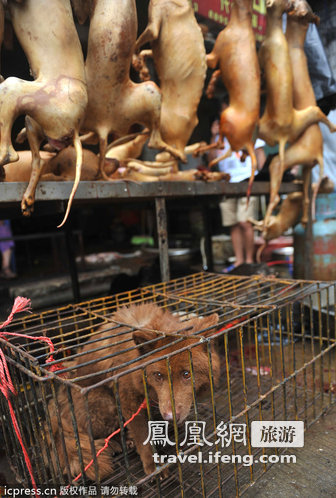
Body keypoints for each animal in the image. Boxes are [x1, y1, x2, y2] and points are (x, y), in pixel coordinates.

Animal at [45, 302, 220, 480]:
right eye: (158, 376)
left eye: (186, 374)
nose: (170, 417)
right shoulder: (128, 400)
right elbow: (143, 438)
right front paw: (154, 466)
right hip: (105, 403)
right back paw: (116, 444)